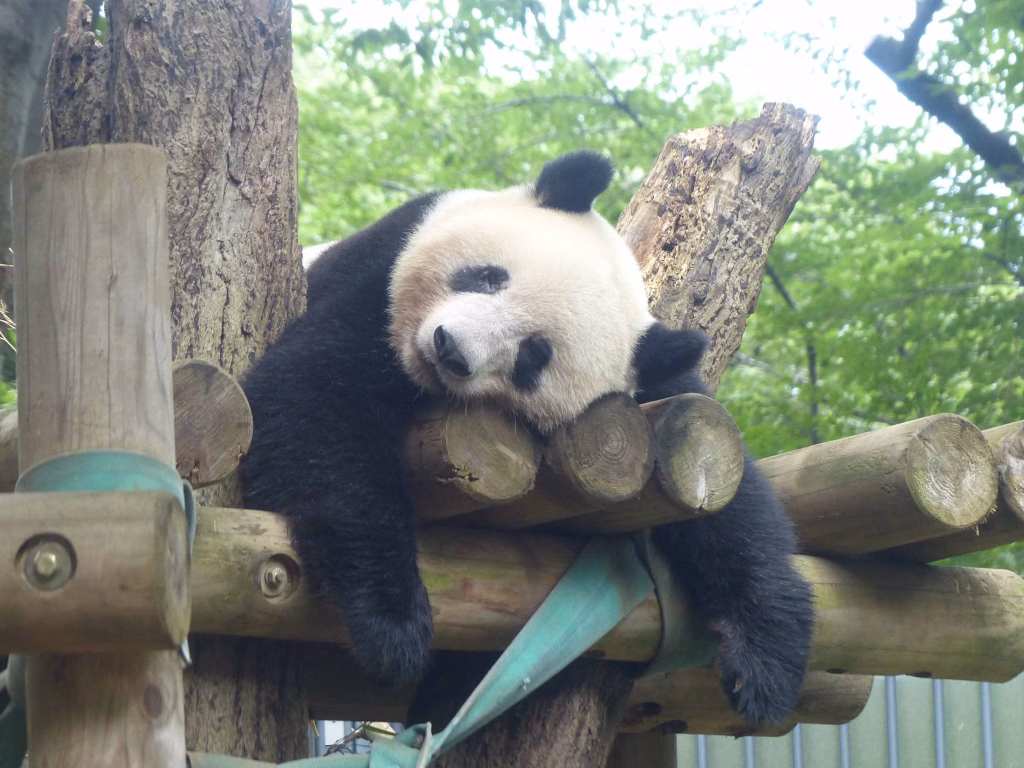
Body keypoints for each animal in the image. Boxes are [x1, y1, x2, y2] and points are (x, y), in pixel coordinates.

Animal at [240, 151, 814, 727]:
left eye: (533, 356)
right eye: (488, 277)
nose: (450, 349)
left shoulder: (651, 386)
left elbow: (728, 500)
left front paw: (765, 662)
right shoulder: (380, 270)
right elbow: (315, 398)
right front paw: (392, 626)